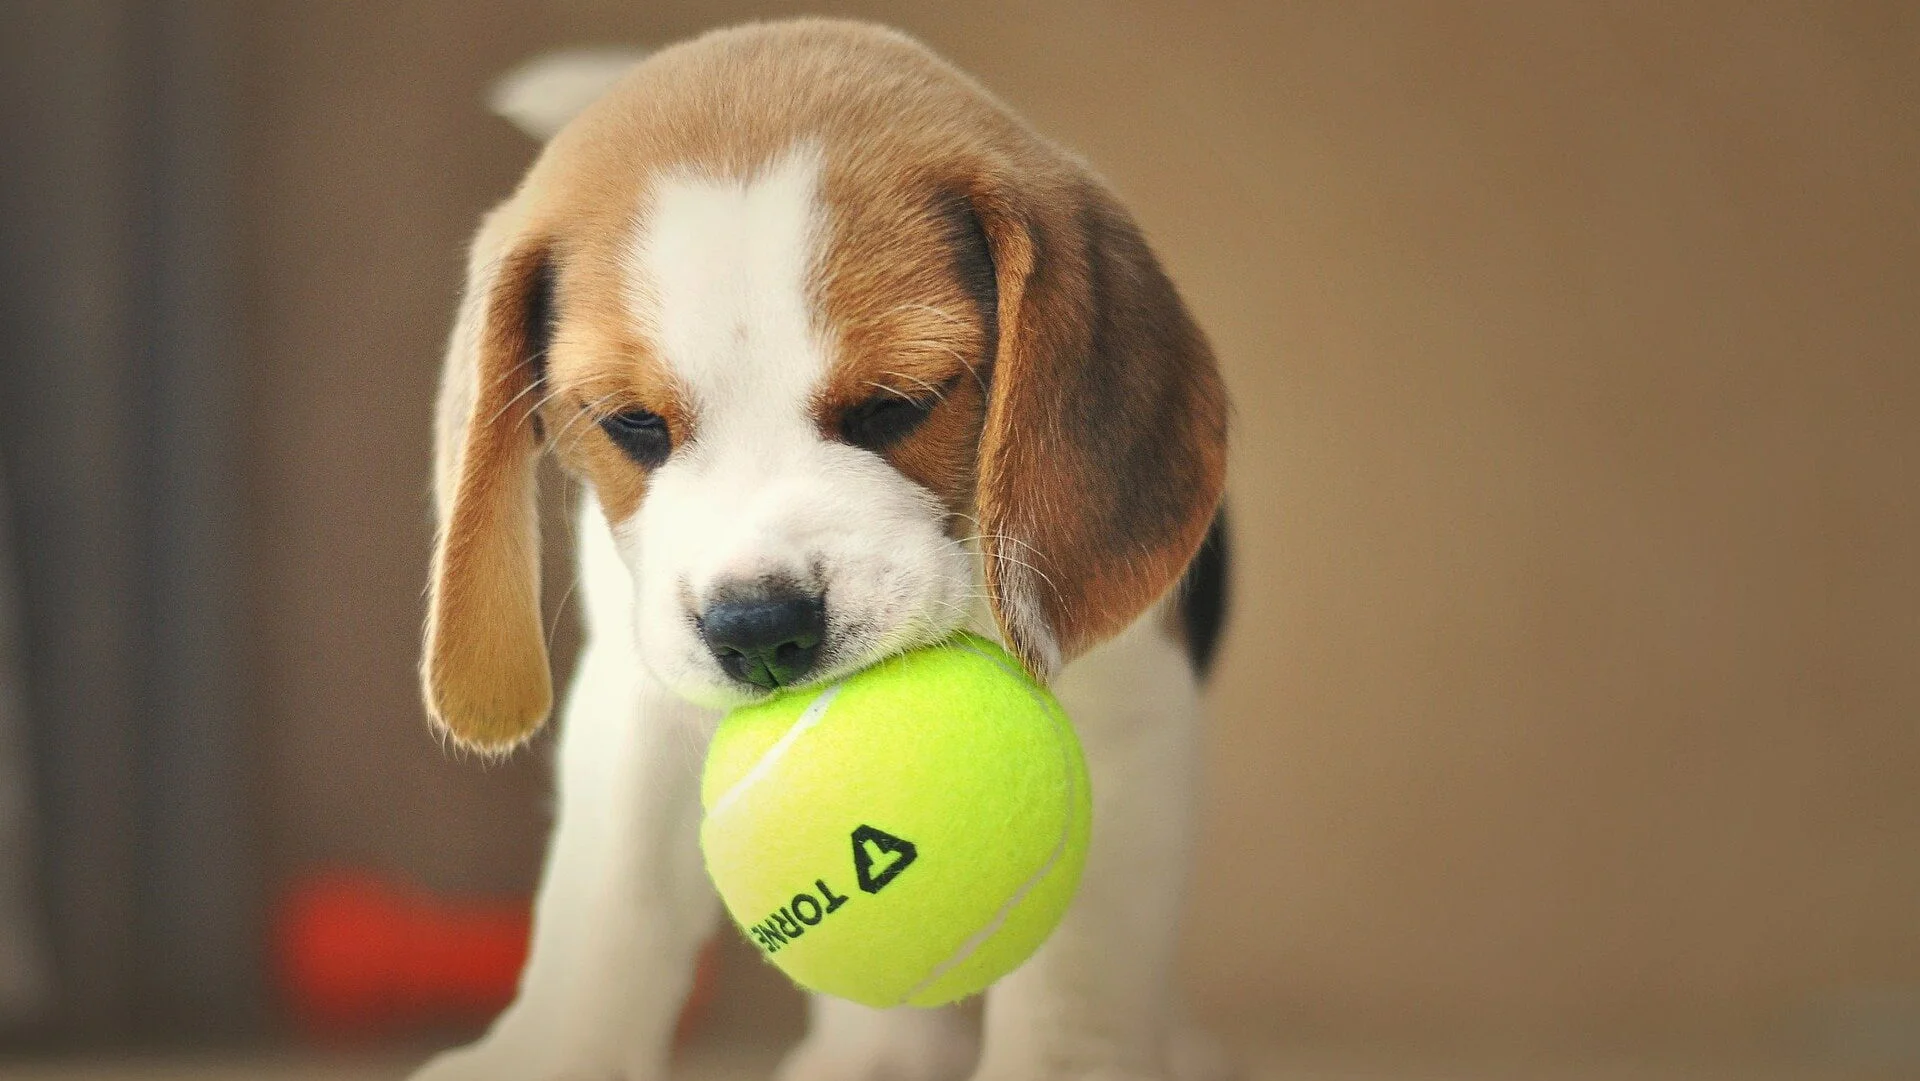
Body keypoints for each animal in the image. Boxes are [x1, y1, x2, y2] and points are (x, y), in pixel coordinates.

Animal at [416, 19, 1228, 1081]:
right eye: (631, 422)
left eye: (898, 404)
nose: (760, 628)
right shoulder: (637, 698)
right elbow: (611, 899)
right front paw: (559, 1049)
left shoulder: (1129, 717)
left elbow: (1076, 982)